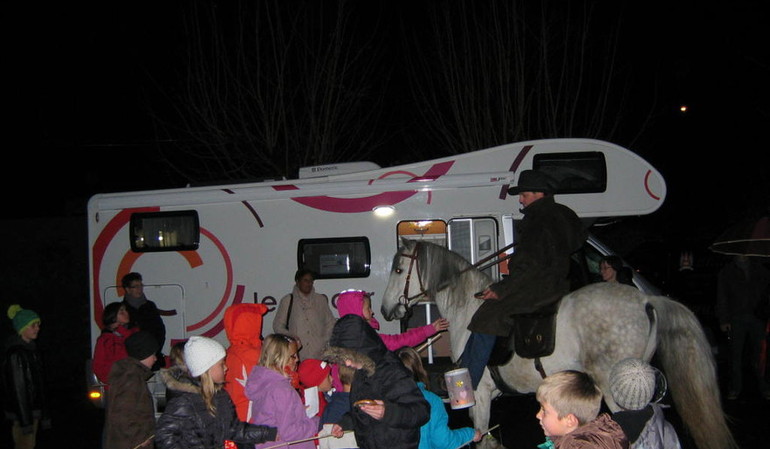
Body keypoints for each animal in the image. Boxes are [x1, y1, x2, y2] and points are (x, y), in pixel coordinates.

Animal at [380, 238, 736, 448]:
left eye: (398, 268)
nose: (385, 310)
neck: (468, 309)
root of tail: (647, 300)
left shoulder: (478, 395)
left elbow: (479, 434)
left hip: (616, 391)